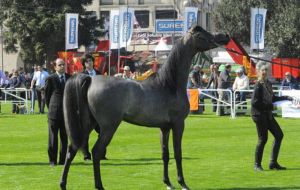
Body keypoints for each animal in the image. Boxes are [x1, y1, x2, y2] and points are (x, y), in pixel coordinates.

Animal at [60, 25, 230, 190]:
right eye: (201, 35)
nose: (225, 36)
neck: (168, 84)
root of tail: (90, 79)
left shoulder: (164, 128)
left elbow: (165, 154)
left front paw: (168, 182)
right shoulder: (178, 125)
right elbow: (178, 153)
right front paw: (182, 183)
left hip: (88, 123)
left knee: (72, 149)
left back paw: (63, 184)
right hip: (108, 127)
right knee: (96, 151)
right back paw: (99, 185)